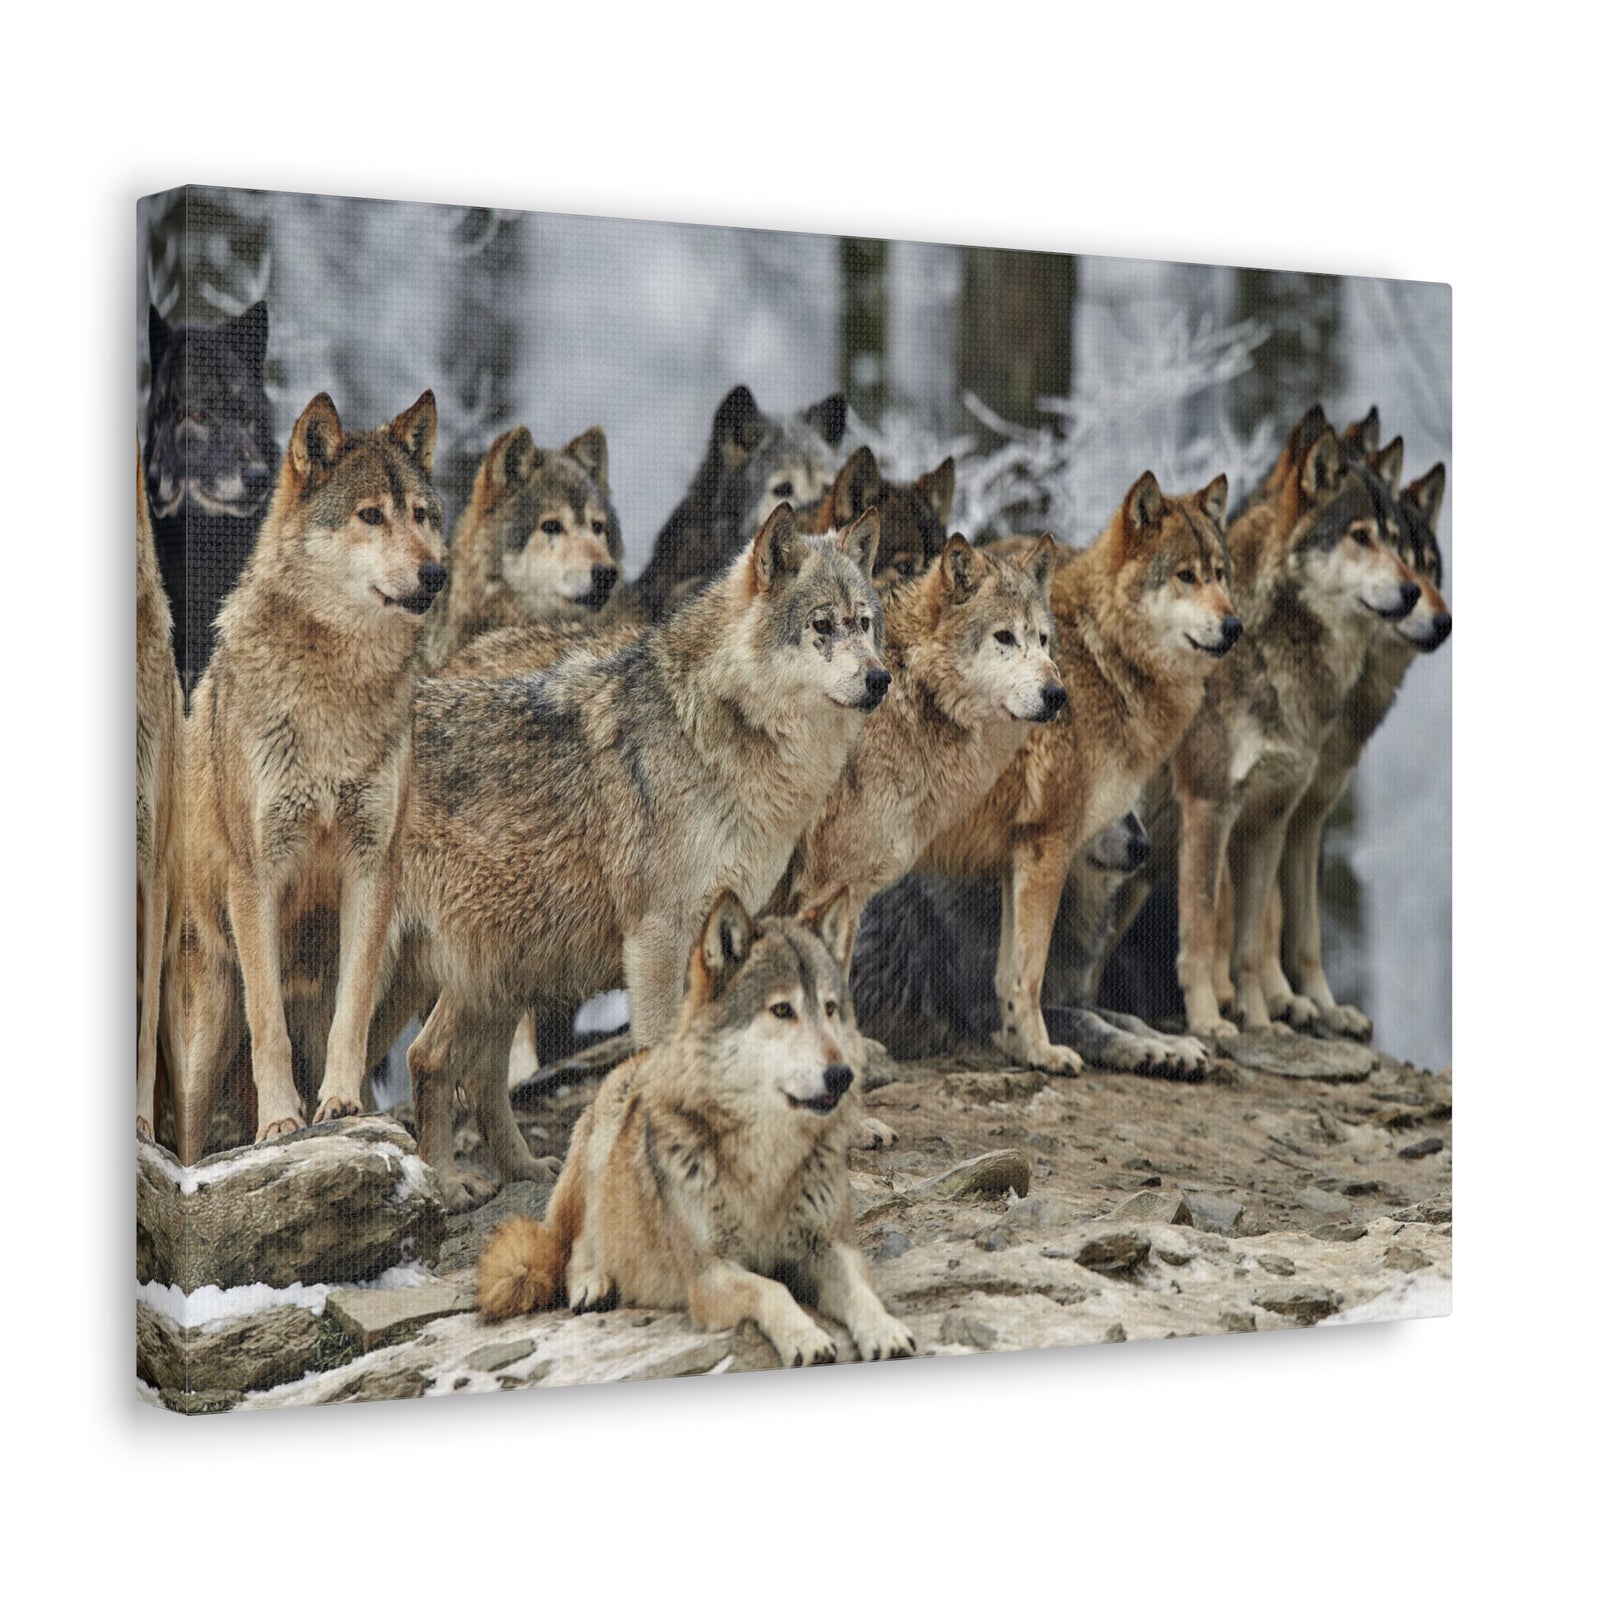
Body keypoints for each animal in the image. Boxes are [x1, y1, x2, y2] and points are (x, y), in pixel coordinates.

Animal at [175, 391, 447, 1162]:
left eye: (423, 515)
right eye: (370, 516)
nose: (436, 574)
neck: (336, 692)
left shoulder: (373, 866)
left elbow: (346, 1017)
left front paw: (339, 1104)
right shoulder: (256, 874)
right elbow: (267, 1021)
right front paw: (280, 1123)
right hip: (205, 1031)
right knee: (186, 1137)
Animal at [386, 505, 887, 1209]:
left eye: (864, 623)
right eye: (821, 625)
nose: (880, 679)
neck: (716, 730)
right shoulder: (657, 936)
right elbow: (655, 1047)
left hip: (504, 962)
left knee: (452, 1066)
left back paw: (518, 1171)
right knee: (420, 1061)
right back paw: (442, 1183)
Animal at [476, 890, 916, 1366]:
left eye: (830, 1009)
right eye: (782, 1010)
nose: (841, 1076)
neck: (767, 1158)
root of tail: (638, 1057)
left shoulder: (830, 1246)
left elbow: (860, 1292)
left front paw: (885, 1330)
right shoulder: (709, 1274)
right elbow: (773, 1290)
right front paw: (806, 1338)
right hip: (598, 1152)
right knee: (572, 1248)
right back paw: (593, 1283)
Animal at [916, 470, 1239, 1076]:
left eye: (1220, 574)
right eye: (1185, 576)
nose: (1234, 625)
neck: (1103, 655)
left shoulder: (1020, 853)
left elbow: (1016, 976)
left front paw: (1021, 1048)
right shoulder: (1048, 844)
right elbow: (1032, 973)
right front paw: (1042, 1052)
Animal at [1169, 407, 1420, 1037]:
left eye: (1398, 542)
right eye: (1361, 536)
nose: (1413, 593)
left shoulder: (1280, 817)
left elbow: (1264, 938)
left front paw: (1265, 1022)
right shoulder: (1210, 807)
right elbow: (1205, 929)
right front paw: (1208, 1020)